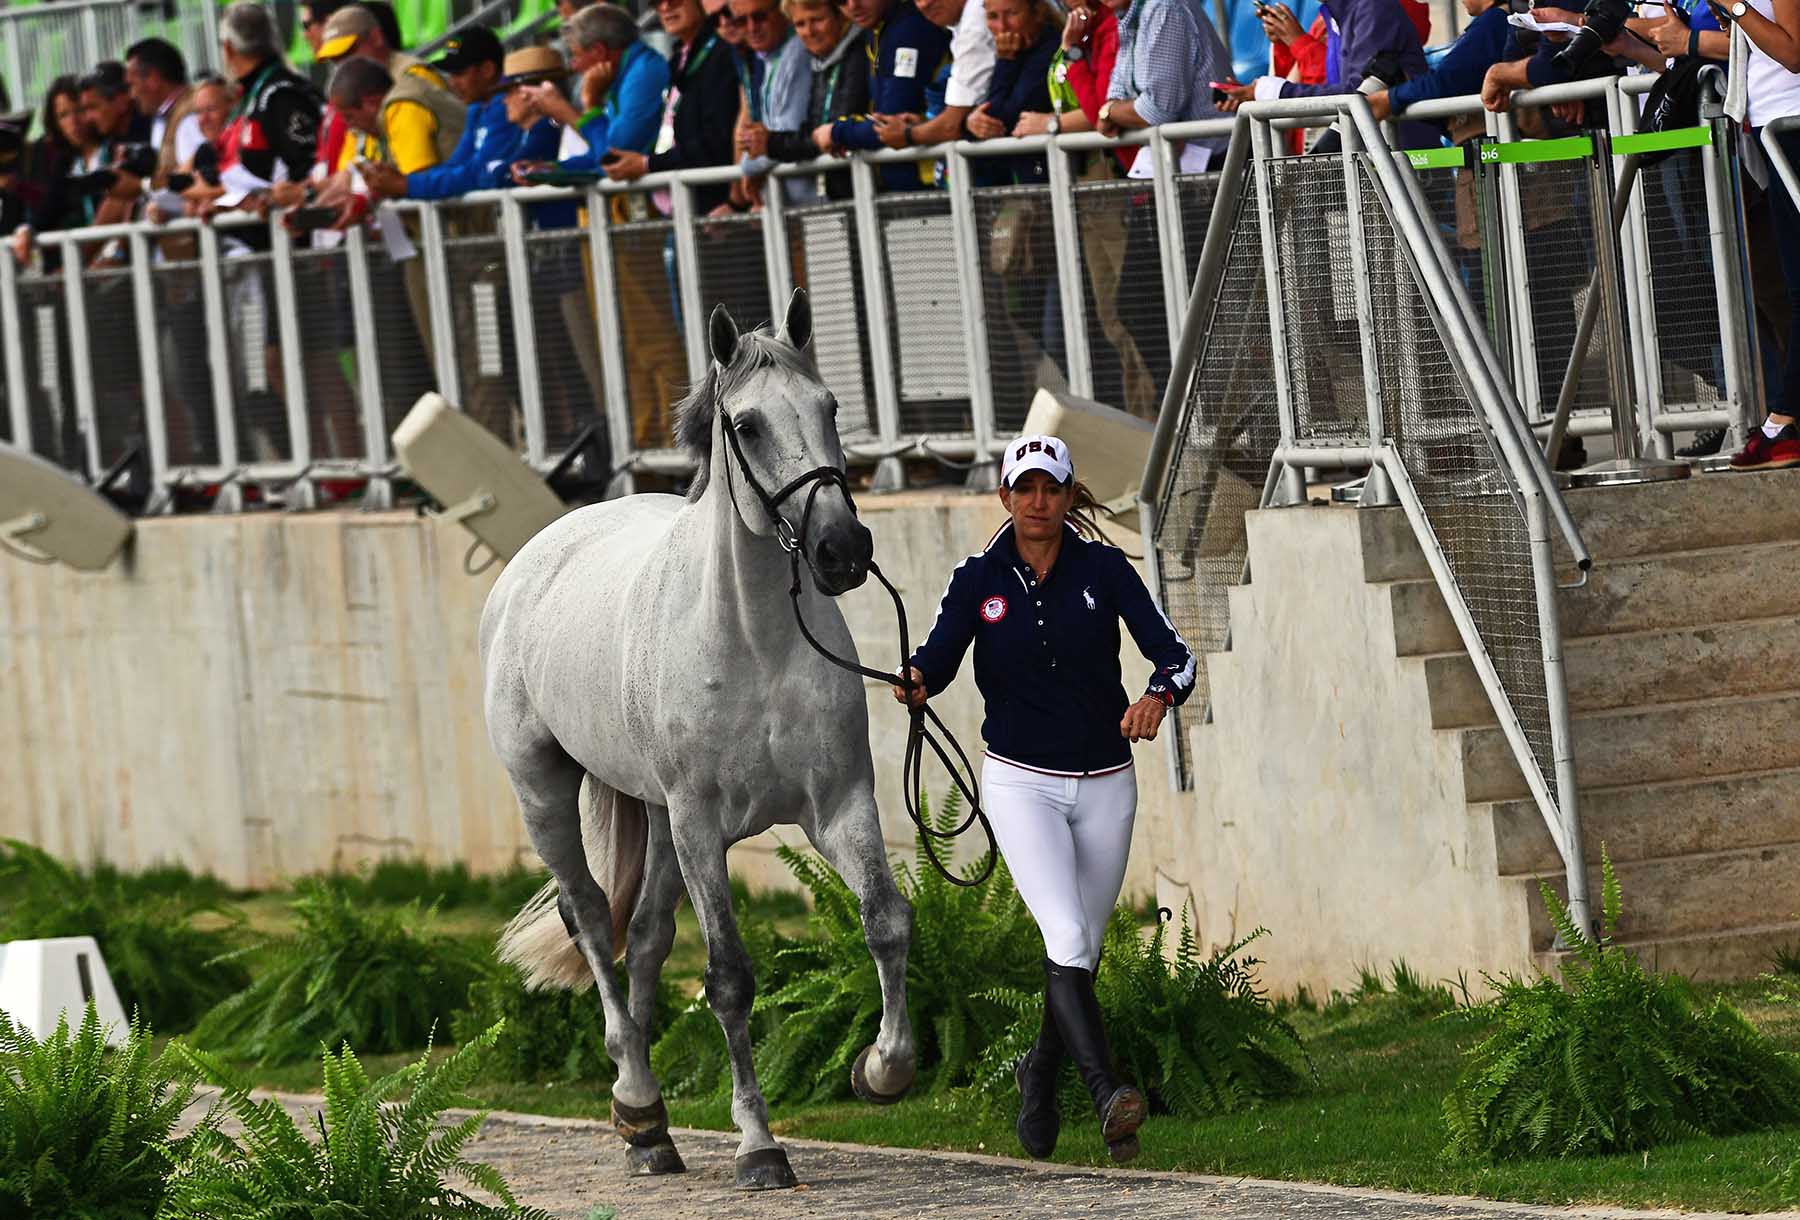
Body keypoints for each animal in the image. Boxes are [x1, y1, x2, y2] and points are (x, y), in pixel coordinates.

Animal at [478, 291, 914, 1187]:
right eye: (747, 425)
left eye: (830, 408)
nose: (842, 550)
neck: (755, 643)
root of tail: (538, 556)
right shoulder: (703, 825)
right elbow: (729, 979)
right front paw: (759, 1148)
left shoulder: (840, 806)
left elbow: (885, 921)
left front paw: (882, 1070)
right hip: (549, 794)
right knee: (590, 921)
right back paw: (637, 1098)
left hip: (657, 819)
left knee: (645, 939)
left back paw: (649, 1130)